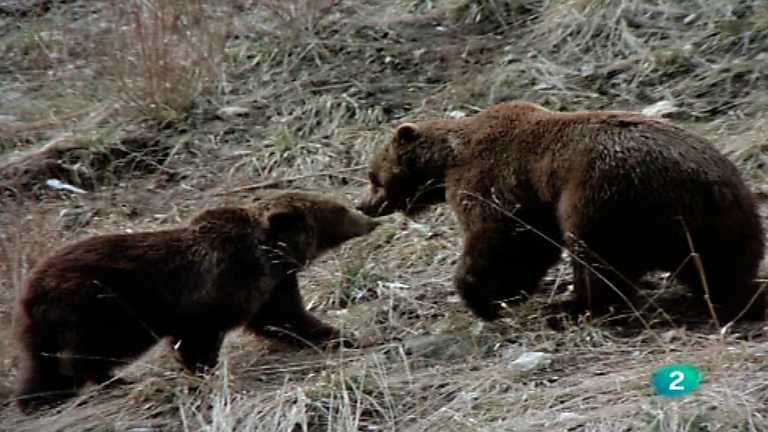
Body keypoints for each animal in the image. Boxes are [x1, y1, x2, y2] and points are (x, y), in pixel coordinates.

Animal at [15, 191, 379, 414]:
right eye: (338, 209)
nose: (369, 217)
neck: (268, 255)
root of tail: (29, 290)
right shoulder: (214, 290)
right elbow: (198, 338)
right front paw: (203, 372)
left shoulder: (272, 287)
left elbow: (286, 319)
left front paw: (346, 336)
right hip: (100, 303)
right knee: (92, 348)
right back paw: (112, 380)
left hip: (50, 323)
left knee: (42, 365)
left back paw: (38, 398)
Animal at [357, 101, 766, 325]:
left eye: (373, 176)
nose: (365, 204)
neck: (447, 160)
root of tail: (705, 183)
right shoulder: (534, 198)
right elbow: (531, 246)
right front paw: (505, 296)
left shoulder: (489, 178)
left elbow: (500, 237)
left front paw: (482, 299)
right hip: (728, 216)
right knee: (721, 267)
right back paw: (739, 296)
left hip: (608, 194)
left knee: (596, 254)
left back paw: (571, 307)